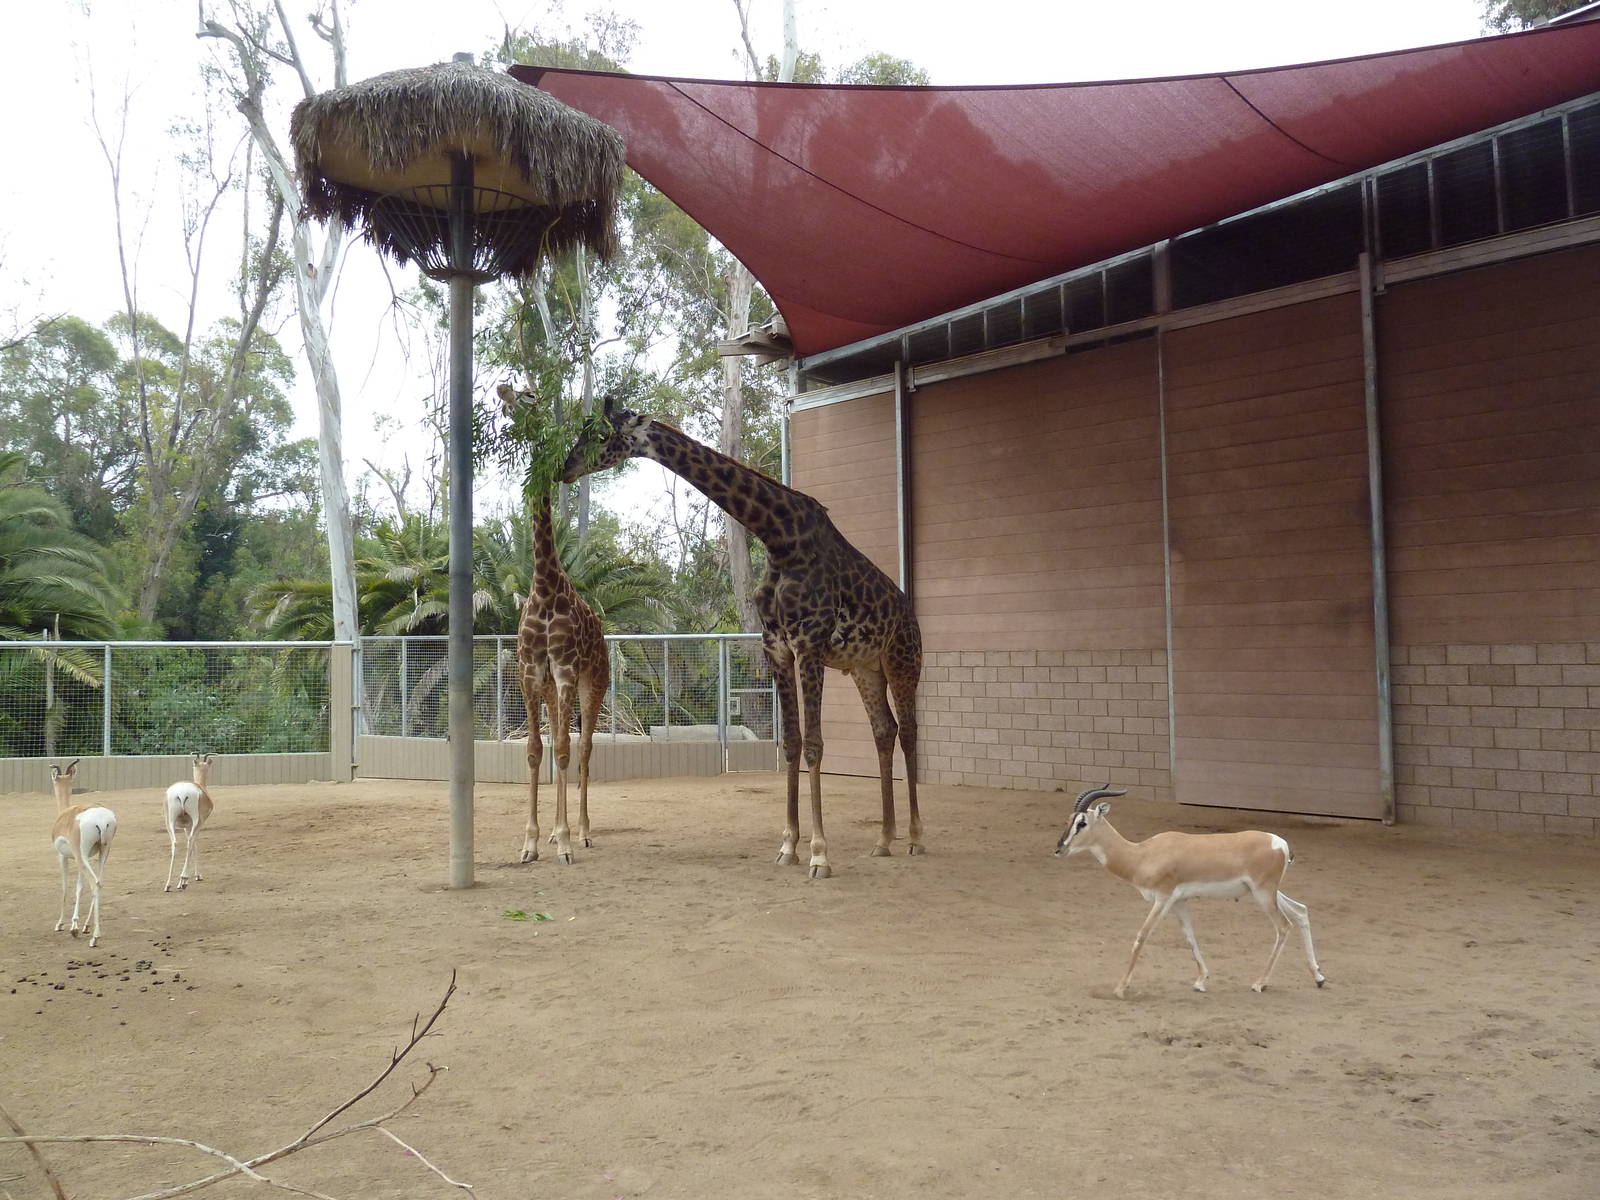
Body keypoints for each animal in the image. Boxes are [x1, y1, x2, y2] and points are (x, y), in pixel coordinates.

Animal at [50, 760, 117, 947]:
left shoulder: (63, 856)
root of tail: (102, 820)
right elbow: (79, 888)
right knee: (99, 882)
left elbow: (65, 887)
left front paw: (62, 924)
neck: (64, 814)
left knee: (94, 883)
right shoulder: (80, 858)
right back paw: (88, 927)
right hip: (103, 853)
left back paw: (95, 937)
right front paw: (76, 924)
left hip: (82, 856)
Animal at [163, 752, 215, 892]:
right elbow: (194, 845)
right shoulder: (198, 824)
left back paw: (168, 884)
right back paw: (184, 879)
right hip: (196, 820)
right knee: (190, 841)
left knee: (174, 843)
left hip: (169, 821)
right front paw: (196, 876)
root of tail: (181, 793)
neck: (202, 788)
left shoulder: (186, 826)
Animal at [562, 395, 922, 879]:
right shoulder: (778, 648)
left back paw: (916, 838)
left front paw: (819, 854)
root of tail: (910, 615)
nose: (564, 469)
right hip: (866, 668)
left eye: (601, 435)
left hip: (903, 661)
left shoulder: (809, 644)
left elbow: (814, 744)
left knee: (909, 731)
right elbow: (791, 743)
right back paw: (883, 840)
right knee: (884, 730)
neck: (779, 537)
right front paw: (788, 846)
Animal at [1055, 784, 1326, 998]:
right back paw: (1319, 978)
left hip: (1263, 894)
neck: (1142, 855)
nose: (1060, 849)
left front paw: (1121, 988)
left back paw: (1260, 983)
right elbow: (1190, 937)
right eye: (1068, 820)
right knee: (1301, 911)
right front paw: (1200, 981)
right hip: (1267, 892)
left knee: (1283, 926)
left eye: (1082, 823)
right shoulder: (1179, 902)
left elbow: (1142, 936)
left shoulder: (1162, 899)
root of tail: (1281, 843)